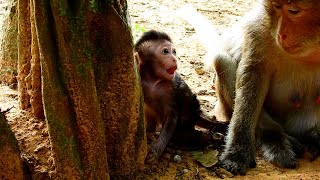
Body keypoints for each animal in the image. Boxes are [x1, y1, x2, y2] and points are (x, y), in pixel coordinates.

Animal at [134, 30, 226, 164]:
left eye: (174, 52)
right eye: (165, 51)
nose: (174, 58)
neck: (154, 81)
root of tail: (195, 114)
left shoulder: (170, 88)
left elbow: (172, 117)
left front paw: (156, 151)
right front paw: (148, 133)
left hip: (189, 118)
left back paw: (212, 137)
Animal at [179, 0, 320, 175]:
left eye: (294, 11)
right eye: (277, 8)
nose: (281, 34)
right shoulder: (260, 29)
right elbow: (252, 73)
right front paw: (237, 153)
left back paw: (312, 138)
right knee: (222, 60)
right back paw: (273, 136)